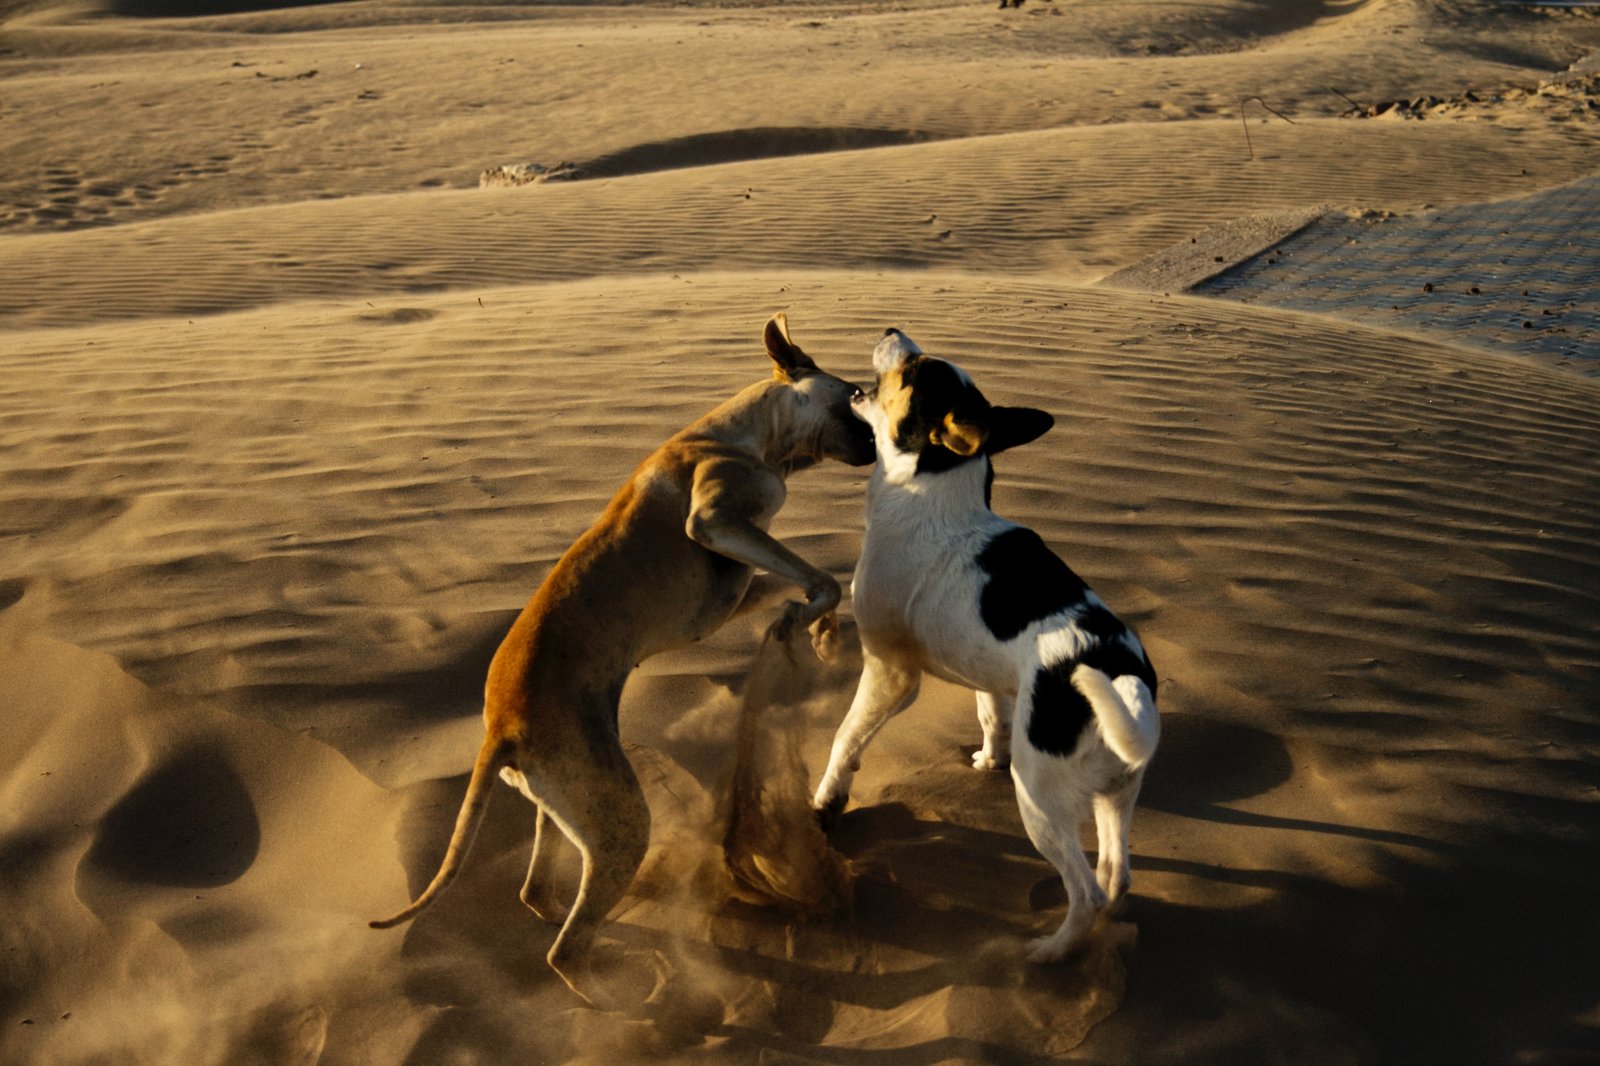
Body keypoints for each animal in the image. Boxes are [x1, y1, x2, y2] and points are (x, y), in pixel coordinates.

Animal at [368, 313, 870, 1005]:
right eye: (854, 395)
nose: (878, 447)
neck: (738, 435)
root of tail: (500, 730)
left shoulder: (736, 588)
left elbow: (811, 585)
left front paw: (810, 628)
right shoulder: (714, 522)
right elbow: (817, 575)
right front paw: (815, 621)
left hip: (570, 807)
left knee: (541, 896)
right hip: (621, 819)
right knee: (566, 951)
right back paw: (638, 1005)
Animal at [819, 328, 1158, 960]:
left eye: (914, 369)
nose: (891, 329)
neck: (934, 491)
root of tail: (1120, 672)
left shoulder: (889, 672)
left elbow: (846, 738)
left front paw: (825, 801)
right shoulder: (989, 675)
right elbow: (992, 715)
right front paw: (985, 758)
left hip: (1041, 799)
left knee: (1085, 891)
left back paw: (1049, 953)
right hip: (1116, 794)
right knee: (1116, 874)